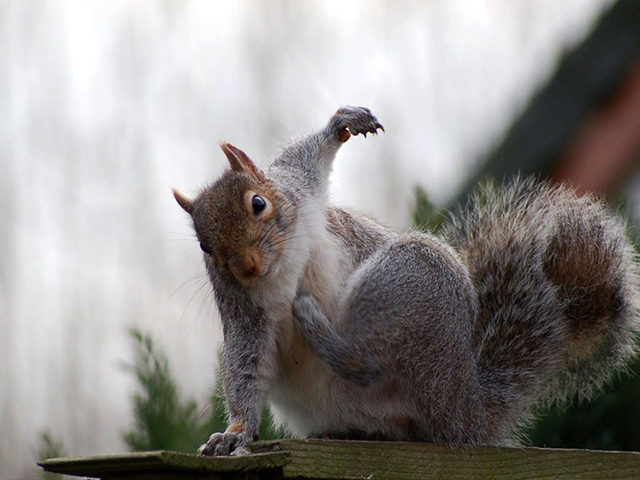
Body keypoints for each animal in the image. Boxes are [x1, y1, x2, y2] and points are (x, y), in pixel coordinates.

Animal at [172, 107, 636, 456]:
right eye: (205, 246)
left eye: (258, 203)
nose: (248, 267)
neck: (283, 268)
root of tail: (466, 410)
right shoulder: (246, 316)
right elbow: (245, 369)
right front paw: (234, 434)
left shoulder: (299, 188)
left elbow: (308, 156)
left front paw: (343, 123)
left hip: (405, 283)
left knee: (367, 364)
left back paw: (317, 325)